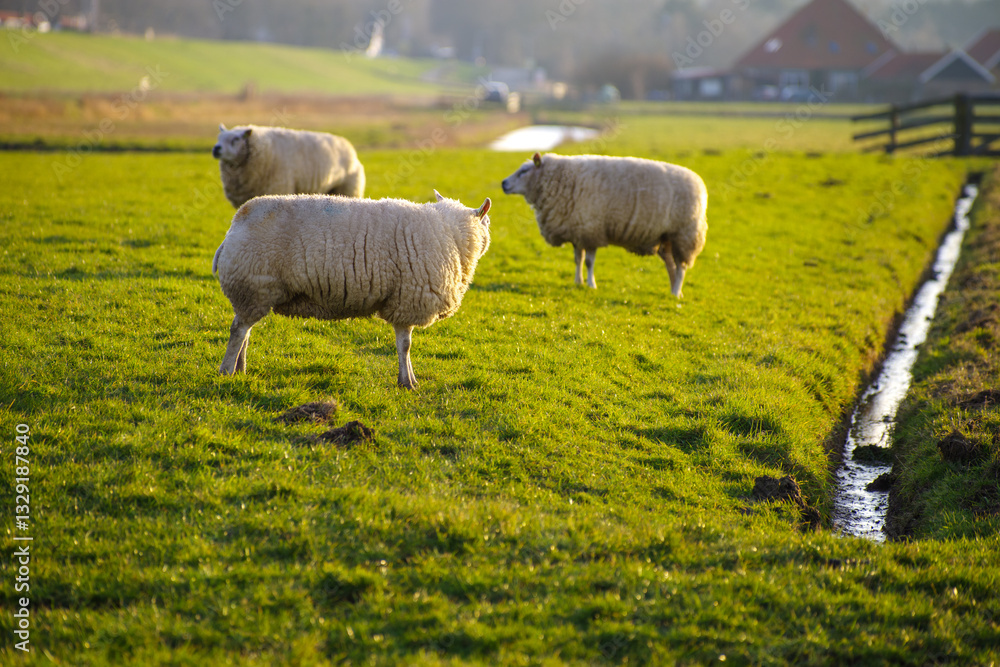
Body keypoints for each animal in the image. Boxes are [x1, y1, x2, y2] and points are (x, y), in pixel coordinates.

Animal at [212, 192, 492, 389]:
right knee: (238, 332)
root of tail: (234, 225)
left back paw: (240, 369)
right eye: (488, 221)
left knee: (245, 332)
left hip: (253, 293)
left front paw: (409, 379)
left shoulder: (402, 300)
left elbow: (403, 345)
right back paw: (226, 371)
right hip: (253, 286)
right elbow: (405, 345)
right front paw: (407, 382)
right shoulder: (407, 299)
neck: (452, 235)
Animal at [213, 124, 366, 208]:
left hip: (349, 189)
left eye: (236, 139)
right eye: (219, 138)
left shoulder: (278, 188)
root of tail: (347, 144)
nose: (216, 149)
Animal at [501, 152, 707, 297]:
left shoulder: (591, 230)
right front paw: (578, 282)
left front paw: (591, 285)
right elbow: (578, 259)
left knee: (681, 268)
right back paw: (674, 292)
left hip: (685, 235)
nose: (503, 183)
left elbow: (589, 261)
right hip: (666, 238)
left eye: (524, 171)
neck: (559, 180)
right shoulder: (577, 230)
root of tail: (700, 185)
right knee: (671, 266)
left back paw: (676, 292)